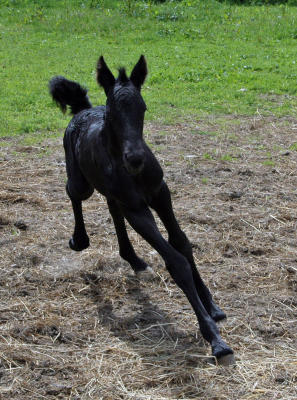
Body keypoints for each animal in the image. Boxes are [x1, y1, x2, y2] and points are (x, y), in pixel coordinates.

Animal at [49, 54, 234, 364]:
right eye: (112, 113)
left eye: (143, 108)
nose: (135, 158)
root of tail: (83, 110)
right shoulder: (137, 209)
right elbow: (176, 261)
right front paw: (215, 339)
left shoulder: (160, 193)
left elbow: (182, 242)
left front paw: (212, 305)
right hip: (83, 182)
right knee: (73, 192)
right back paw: (79, 239)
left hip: (116, 194)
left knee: (112, 209)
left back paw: (133, 258)